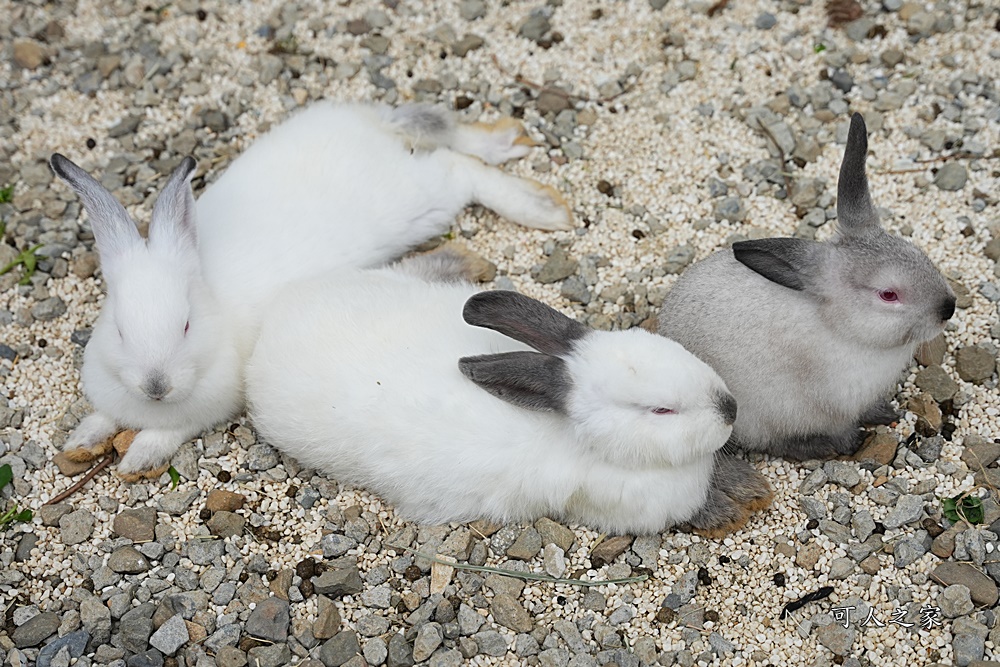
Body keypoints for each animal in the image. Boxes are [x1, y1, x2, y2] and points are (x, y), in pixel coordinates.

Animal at [50, 100, 576, 474]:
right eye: (119, 329)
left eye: (185, 325)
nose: (156, 386)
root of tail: (372, 128)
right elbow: (102, 418)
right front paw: (79, 441)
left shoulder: (203, 412)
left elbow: (163, 435)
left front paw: (135, 460)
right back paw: (508, 140)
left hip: (424, 199)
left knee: (457, 166)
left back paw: (545, 208)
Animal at [660, 112, 956, 462]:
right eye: (888, 294)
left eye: (919, 253)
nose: (948, 308)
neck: (844, 331)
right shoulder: (833, 408)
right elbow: (840, 428)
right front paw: (851, 442)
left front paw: (885, 413)